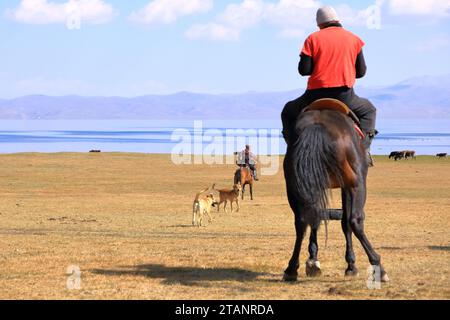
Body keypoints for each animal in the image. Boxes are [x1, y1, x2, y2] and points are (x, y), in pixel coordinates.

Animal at [284, 99, 388, 282]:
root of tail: (317, 126)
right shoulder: (346, 187)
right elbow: (345, 222)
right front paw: (351, 266)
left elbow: (316, 218)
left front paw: (313, 262)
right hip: (356, 184)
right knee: (355, 220)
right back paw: (378, 267)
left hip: (294, 185)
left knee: (301, 221)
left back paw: (291, 269)